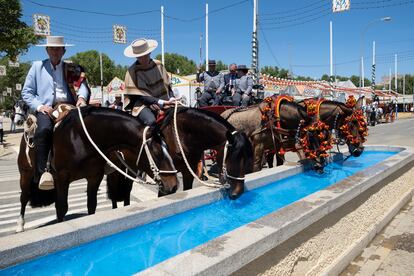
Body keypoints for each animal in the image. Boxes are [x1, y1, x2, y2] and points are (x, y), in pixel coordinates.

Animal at [16, 106, 178, 232]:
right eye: (156, 152)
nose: (174, 185)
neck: (80, 138)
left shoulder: (95, 176)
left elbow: (92, 206)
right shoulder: (63, 178)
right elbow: (61, 208)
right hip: (26, 174)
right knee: (24, 197)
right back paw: (20, 225)